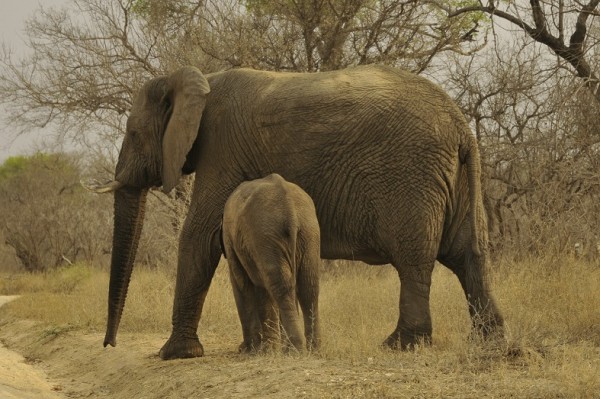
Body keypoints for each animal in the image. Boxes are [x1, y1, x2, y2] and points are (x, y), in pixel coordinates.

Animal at [220, 173, 322, 352]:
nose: (241, 348)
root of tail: (290, 210)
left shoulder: (232, 240)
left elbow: (241, 282)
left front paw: (251, 350)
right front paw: (266, 348)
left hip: (265, 235)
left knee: (280, 286)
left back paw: (294, 349)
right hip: (308, 232)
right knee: (308, 285)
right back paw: (312, 349)